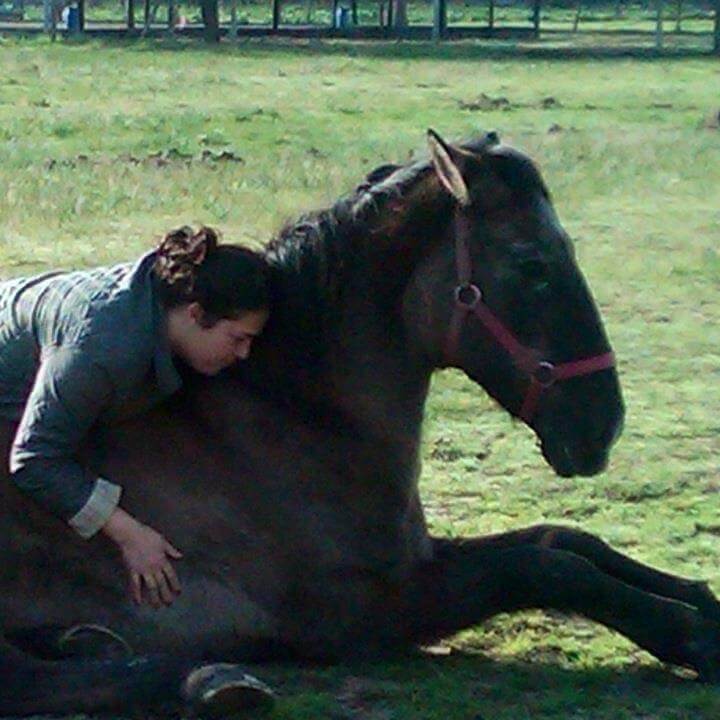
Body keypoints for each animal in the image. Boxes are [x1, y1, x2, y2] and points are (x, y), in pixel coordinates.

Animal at [0, 130, 718, 716]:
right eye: (532, 264)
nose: (604, 426)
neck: (295, 414)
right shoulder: (373, 609)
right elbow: (550, 570)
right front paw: (690, 636)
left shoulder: (419, 558)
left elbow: (563, 539)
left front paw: (698, 597)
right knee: (32, 682)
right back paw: (206, 680)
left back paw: (88, 639)